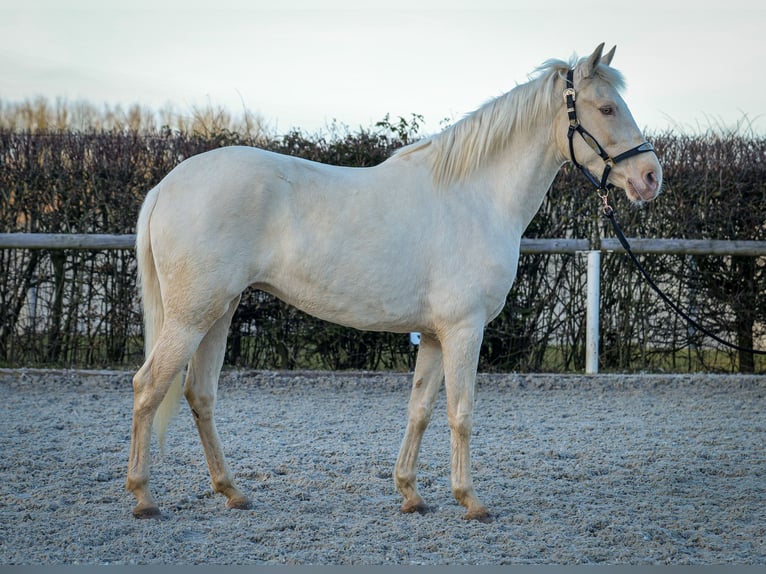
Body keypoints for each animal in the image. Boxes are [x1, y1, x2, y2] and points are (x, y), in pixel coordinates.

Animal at [126, 42, 660, 524]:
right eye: (607, 108)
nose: (651, 176)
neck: (475, 197)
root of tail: (165, 186)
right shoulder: (464, 330)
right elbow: (461, 413)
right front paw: (471, 500)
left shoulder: (434, 335)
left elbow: (420, 409)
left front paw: (411, 494)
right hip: (192, 316)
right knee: (149, 386)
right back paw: (144, 497)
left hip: (219, 312)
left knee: (199, 394)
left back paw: (232, 492)